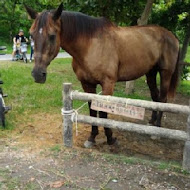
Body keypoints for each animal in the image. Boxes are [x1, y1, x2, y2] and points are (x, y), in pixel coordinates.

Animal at [25, 3, 180, 148]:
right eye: (31, 35)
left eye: (52, 35)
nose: (37, 74)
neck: (91, 45)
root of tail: (172, 36)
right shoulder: (87, 84)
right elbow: (93, 110)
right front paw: (92, 138)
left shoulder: (108, 85)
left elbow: (104, 113)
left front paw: (111, 138)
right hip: (151, 73)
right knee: (155, 97)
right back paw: (152, 124)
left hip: (165, 73)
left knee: (163, 99)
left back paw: (157, 130)